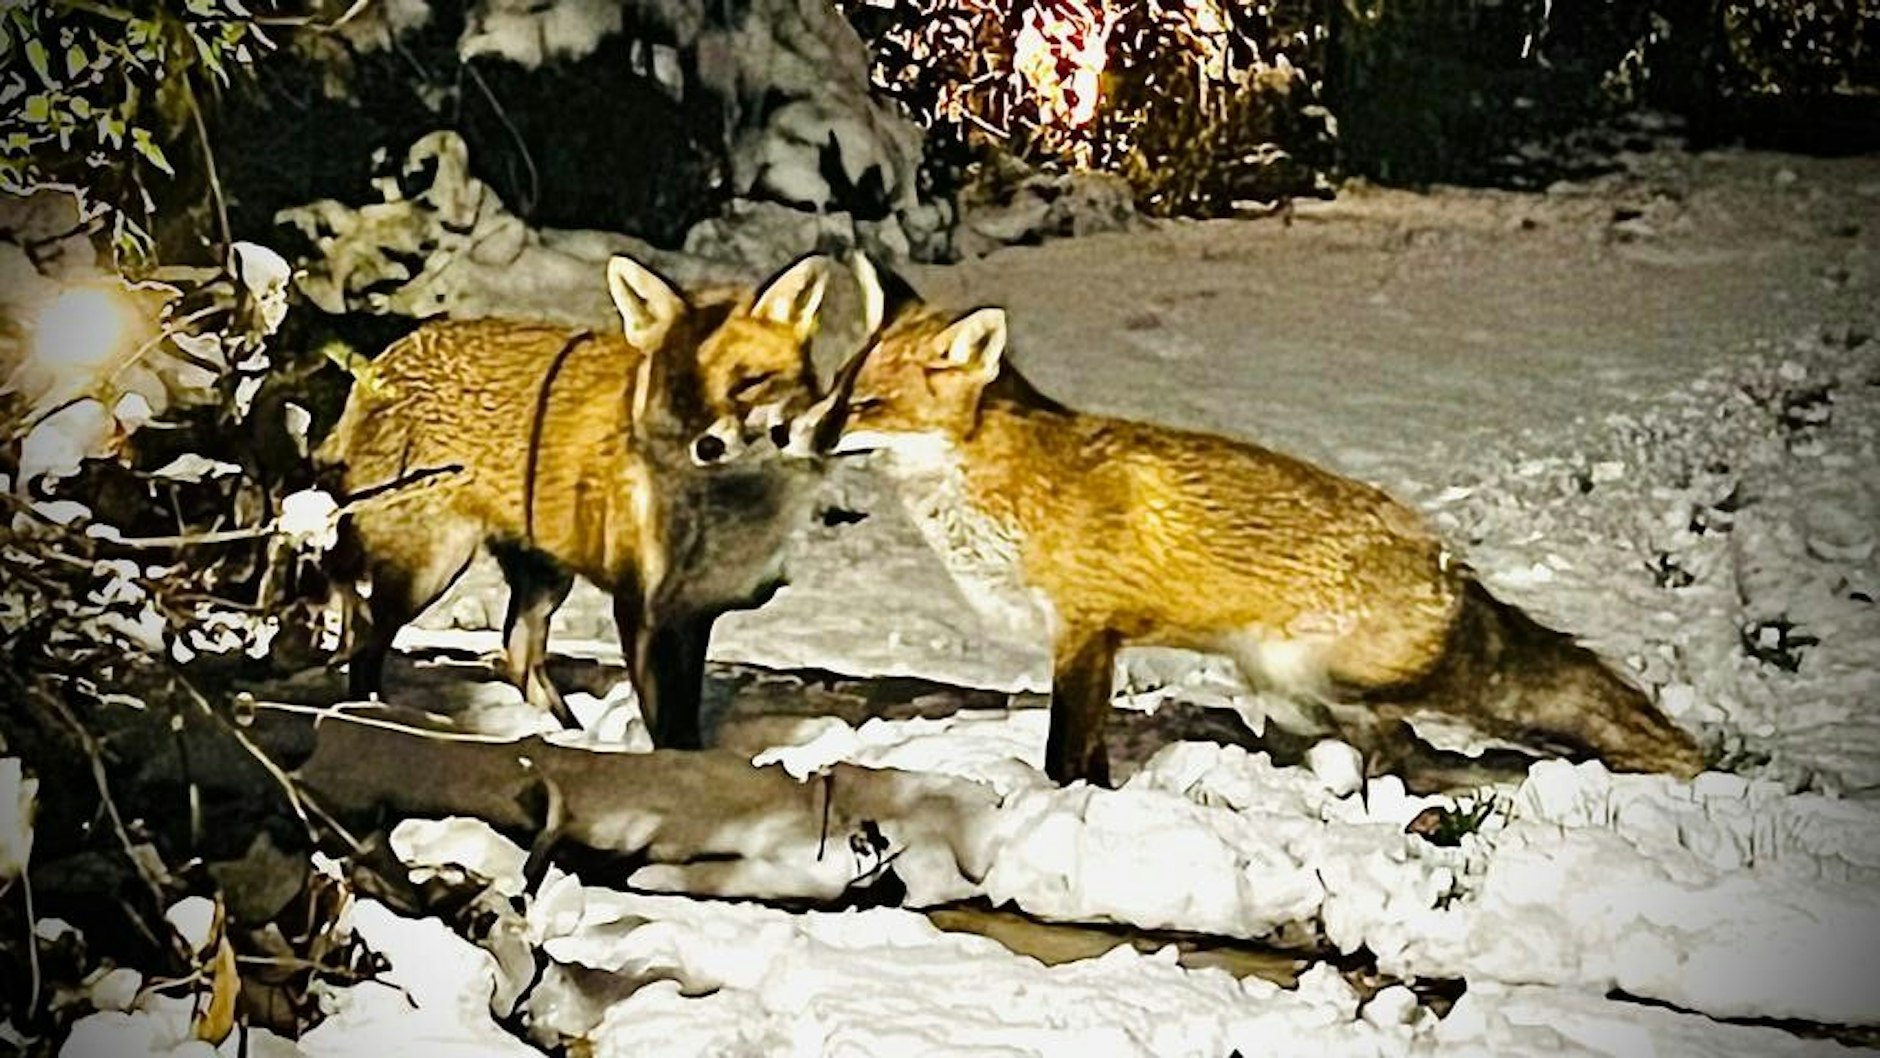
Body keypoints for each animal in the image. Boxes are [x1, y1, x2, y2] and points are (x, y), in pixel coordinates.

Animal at [316, 251, 853, 746]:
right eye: (682, 387)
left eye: (749, 383)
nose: (707, 446)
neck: (722, 513)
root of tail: (382, 362)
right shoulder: (642, 607)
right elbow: (668, 724)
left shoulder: (695, 607)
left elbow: (685, 715)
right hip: (430, 568)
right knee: (369, 641)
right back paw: (371, 713)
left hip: (544, 578)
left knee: (517, 655)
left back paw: (564, 732)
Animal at [831, 287, 1710, 788]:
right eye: (839, 389)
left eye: (867, 406)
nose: (802, 433)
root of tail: (1448, 564)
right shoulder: (1095, 647)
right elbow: (1092, 754)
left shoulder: (1084, 631)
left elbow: (1063, 755)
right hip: (1288, 687)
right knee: (1404, 747)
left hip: (1316, 675)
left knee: (1416, 744)